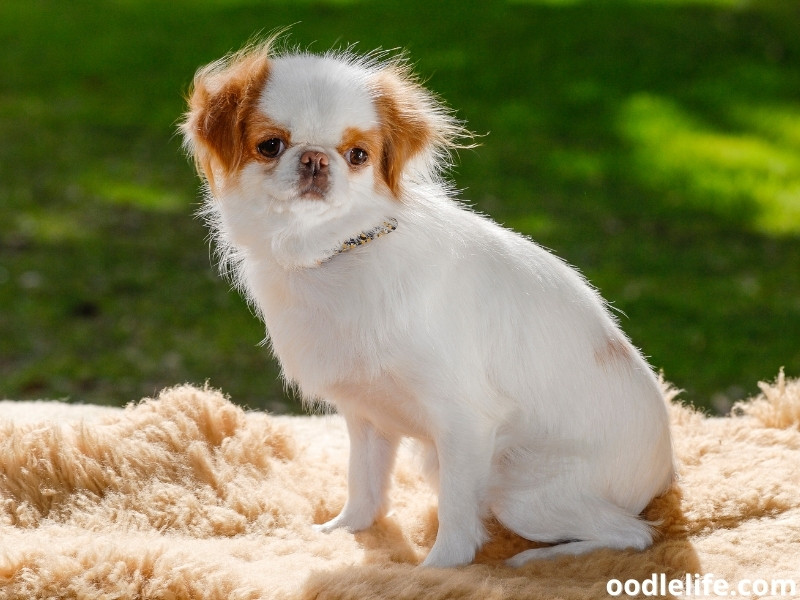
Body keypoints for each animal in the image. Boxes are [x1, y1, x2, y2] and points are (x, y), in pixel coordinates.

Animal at [181, 35, 676, 568]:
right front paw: (344, 530)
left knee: (635, 534)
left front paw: (435, 571)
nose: (315, 159)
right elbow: (365, 486)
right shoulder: (368, 415)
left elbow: (456, 521)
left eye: (358, 155)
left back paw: (536, 560)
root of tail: (665, 474)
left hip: (516, 490)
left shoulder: (465, 423)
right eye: (270, 145)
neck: (339, 252)